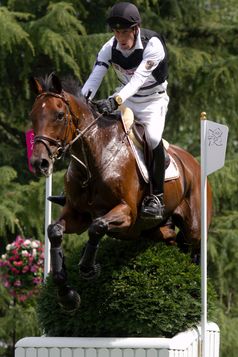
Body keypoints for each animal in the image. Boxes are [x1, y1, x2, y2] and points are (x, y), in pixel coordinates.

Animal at [29, 73, 212, 310]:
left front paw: (88, 268)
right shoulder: (77, 214)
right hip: (155, 231)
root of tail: (195, 165)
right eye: (33, 115)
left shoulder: (127, 212)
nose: (39, 163)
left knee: (194, 250)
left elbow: (97, 226)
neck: (92, 162)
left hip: (195, 229)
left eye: (59, 115)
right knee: (172, 239)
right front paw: (66, 295)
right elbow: (54, 231)